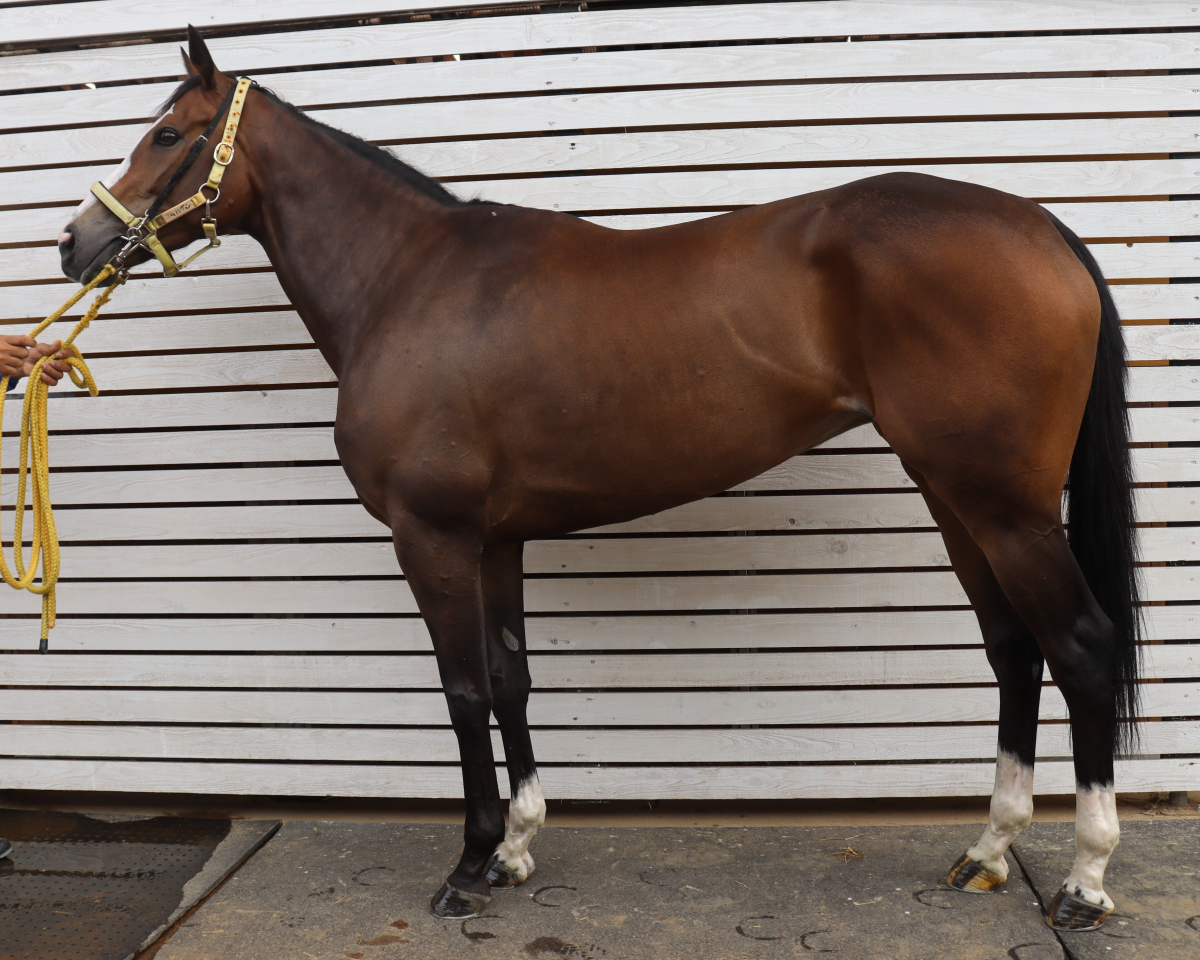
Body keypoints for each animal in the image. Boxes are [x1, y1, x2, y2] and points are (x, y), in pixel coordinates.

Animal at [59, 29, 1140, 930]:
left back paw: (1086, 882)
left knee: (1081, 649)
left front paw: (469, 864)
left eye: (167, 134)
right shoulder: (495, 537)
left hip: (1005, 508)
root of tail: (1039, 227)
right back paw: (988, 852)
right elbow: (509, 678)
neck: (410, 283)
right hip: (960, 497)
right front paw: (517, 852)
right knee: (1014, 650)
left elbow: (461, 688)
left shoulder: (433, 536)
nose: (75, 243)